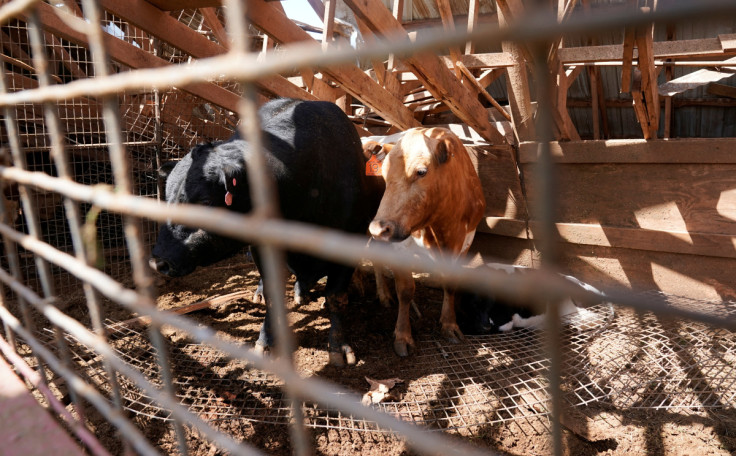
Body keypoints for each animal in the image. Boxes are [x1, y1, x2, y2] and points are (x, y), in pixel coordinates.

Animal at [147, 98, 382, 366]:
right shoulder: (262, 247)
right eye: (167, 196)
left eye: (205, 202)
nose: (158, 262)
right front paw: (266, 341)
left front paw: (339, 347)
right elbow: (272, 293)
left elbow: (335, 297)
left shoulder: (352, 239)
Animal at [366, 127, 484, 356]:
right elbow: (405, 291)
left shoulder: (465, 242)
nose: (377, 228)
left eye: (421, 172)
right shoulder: (400, 247)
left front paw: (449, 325)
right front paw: (403, 336)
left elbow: (451, 284)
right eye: (383, 174)